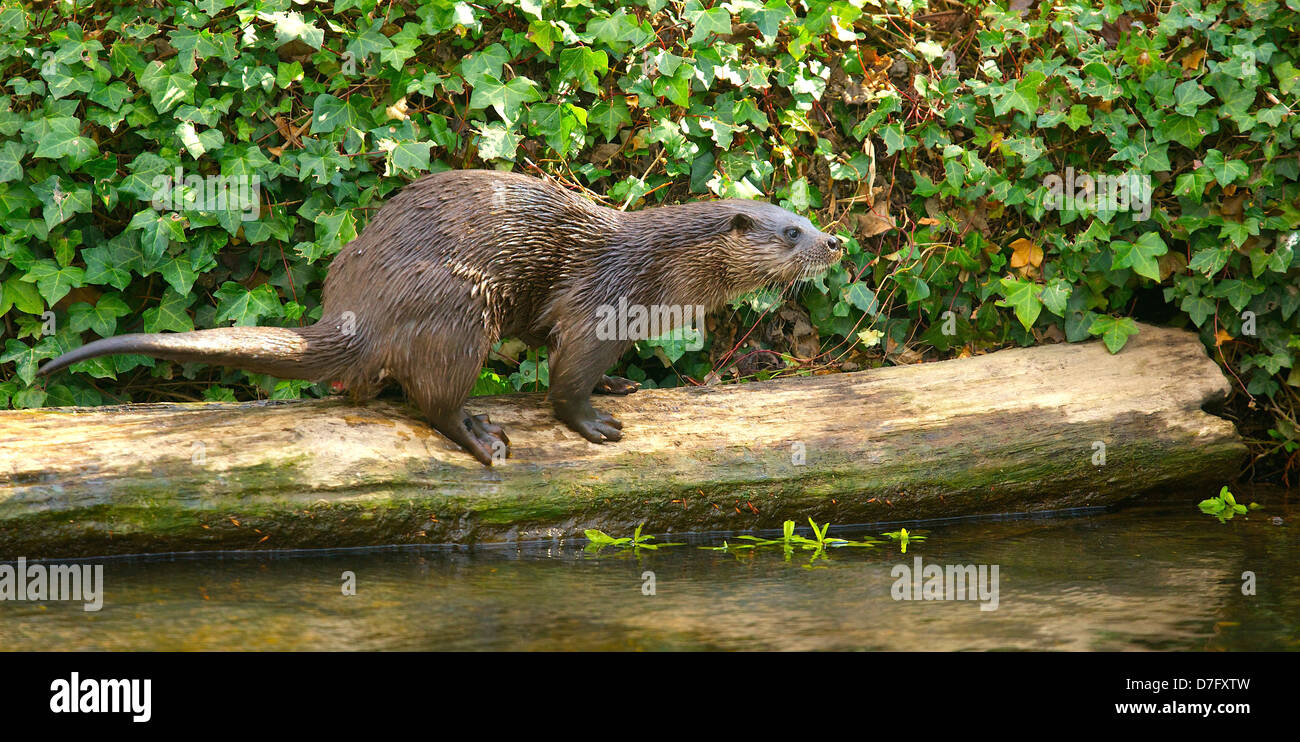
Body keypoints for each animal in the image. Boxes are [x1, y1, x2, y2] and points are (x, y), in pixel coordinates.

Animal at [38, 171, 842, 467]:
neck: (657, 267)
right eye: (789, 232)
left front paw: (618, 389)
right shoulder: (601, 303)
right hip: (458, 307)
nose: (835, 241)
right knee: (433, 398)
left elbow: (564, 354)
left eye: (807, 218)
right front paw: (593, 422)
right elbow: (567, 377)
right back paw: (484, 437)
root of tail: (354, 310)